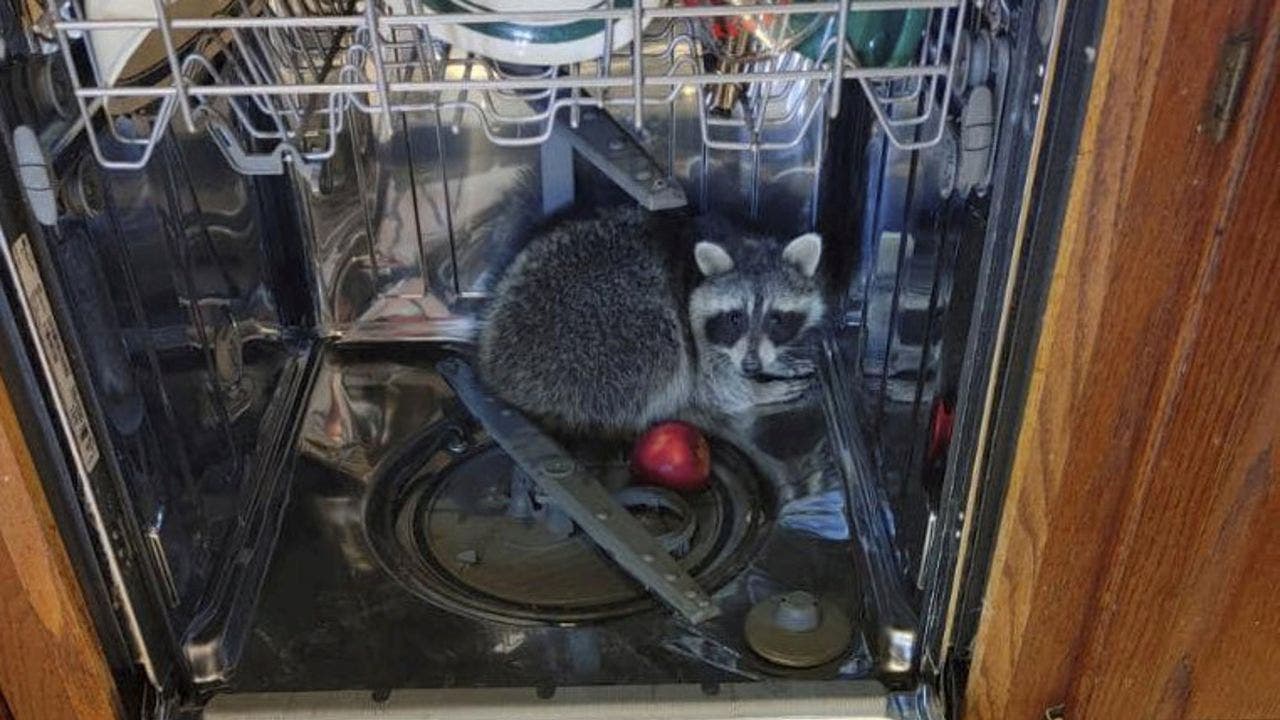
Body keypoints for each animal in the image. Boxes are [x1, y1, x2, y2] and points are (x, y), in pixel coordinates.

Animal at [476, 204, 824, 435]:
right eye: (735, 317)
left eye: (776, 319)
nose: (751, 366)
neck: (742, 240)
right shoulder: (693, 327)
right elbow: (712, 384)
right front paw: (755, 391)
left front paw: (774, 362)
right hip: (603, 331)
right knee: (665, 352)